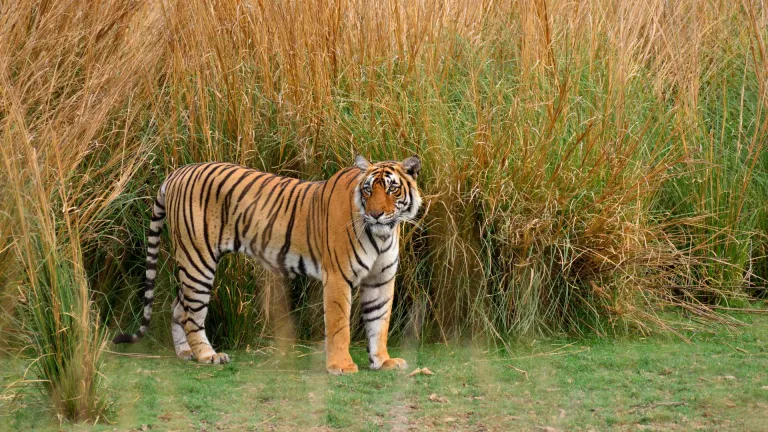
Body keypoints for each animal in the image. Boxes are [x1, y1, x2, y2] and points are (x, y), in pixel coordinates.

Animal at [114, 155, 424, 374]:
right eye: (368, 190)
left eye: (393, 190)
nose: (375, 215)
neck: (383, 234)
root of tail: (177, 172)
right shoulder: (338, 277)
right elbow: (339, 326)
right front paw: (342, 366)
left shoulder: (381, 280)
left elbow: (379, 322)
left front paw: (383, 361)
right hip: (197, 259)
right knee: (192, 313)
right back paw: (207, 355)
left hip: (192, 263)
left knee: (178, 307)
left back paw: (186, 353)